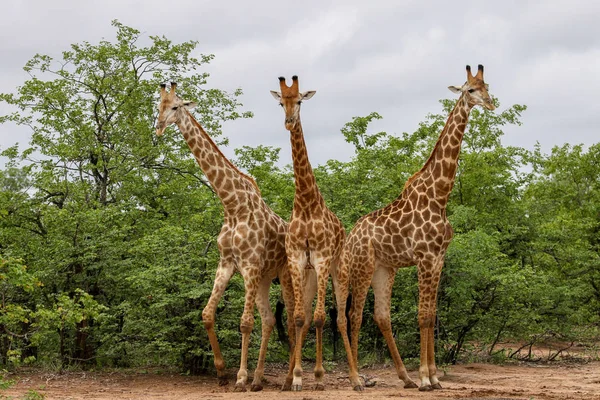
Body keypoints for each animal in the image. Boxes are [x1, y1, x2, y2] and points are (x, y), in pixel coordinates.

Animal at [155, 83, 296, 392]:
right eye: (158, 105)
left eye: (175, 106)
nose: (158, 128)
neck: (232, 205)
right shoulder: (227, 263)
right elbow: (207, 314)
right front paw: (222, 372)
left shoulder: (250, 265)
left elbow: (244, 323)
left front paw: (240, 378)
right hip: (265, 279)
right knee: (270, 320)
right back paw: (260, 378)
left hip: (286, 275)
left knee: (294, 319)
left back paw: (290, 378)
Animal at [270, 76, 354, 390]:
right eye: (281, 102)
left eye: (300, 101)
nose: (288, 121)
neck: (306, 204)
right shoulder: (297, 260)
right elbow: (298, 318)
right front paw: (294, 378)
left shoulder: (321, 260)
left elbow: (320, 318)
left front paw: (317, 377)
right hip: (308, 277)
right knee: (305, 317)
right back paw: (289, 377)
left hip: (337, 270)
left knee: (340, 318)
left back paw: (356, 378)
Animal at [338, 65, 496, 390]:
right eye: (469, 90)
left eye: (487, 86)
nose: (490, 104)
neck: (440, 196)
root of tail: (350, 237)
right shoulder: (424, 257)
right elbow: (423, 316)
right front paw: (426, 377)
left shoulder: (438, 258)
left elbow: (432, 316)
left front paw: (433, 377)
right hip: (362, 266)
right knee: (354, 316)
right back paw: (357, 378)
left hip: (385, 269)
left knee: (381, 316)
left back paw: (404, 377)